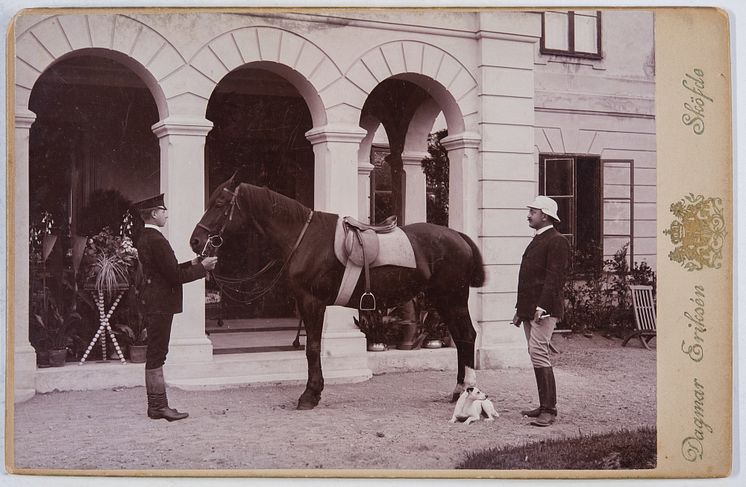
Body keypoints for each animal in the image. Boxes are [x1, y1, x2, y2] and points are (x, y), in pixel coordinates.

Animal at [189, 173, 486, 410]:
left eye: (219, 203)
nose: (195, 240)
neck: (305, 239)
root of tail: (459, 236)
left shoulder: (312, 302)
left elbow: (312, 348)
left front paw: (310, 395)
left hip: (453, 299)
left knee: (467, 336)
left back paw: (468, 389)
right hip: (442, 301)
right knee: (460, 338)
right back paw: (458, 390)